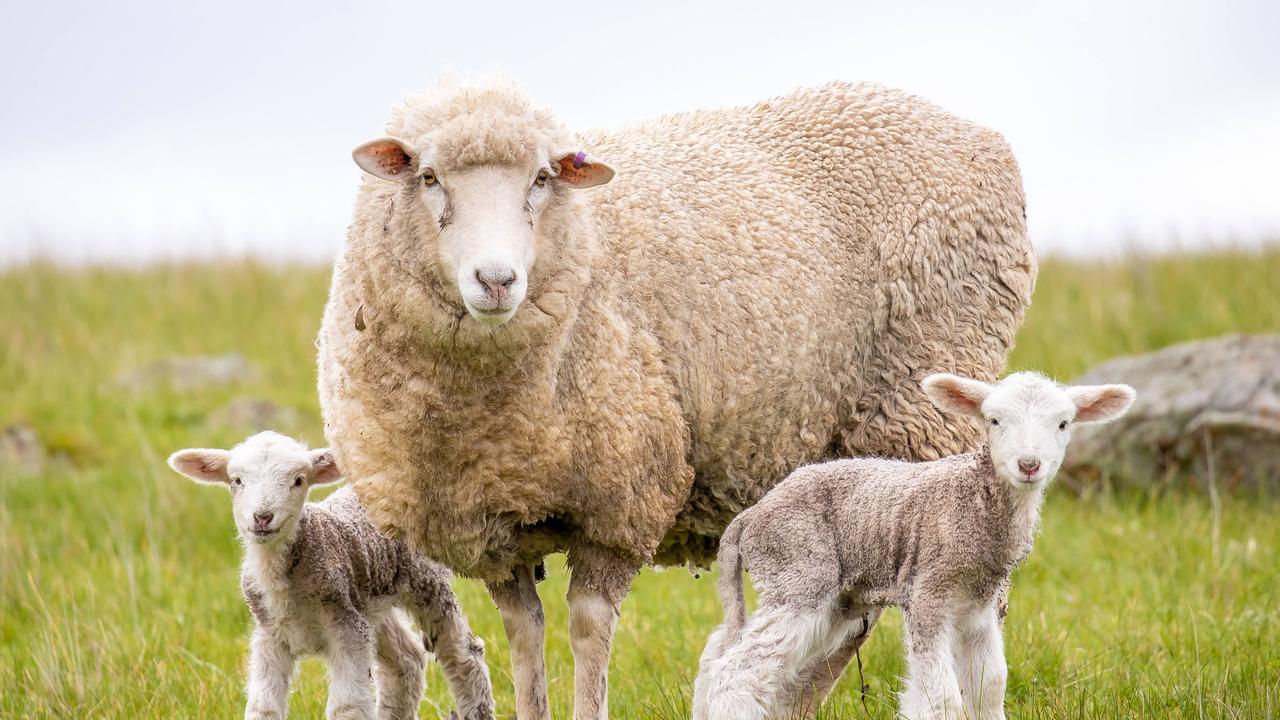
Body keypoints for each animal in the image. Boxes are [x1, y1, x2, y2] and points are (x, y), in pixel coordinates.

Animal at [167, 431, 494, 720]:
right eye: (237, 481)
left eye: (298, 481)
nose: (262, 517)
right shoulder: (271, 634)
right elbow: (263, 708)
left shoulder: (346, 627)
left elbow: (346, 707)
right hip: (370, 599)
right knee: (407, 659)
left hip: (425, 580)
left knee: (463, 656)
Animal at [317, 76, 1037, 719]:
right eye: (428, 177)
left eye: (542, 179)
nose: (496, 280)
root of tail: (980, 136)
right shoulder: (493, 527)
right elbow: (524, 636)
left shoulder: (621, 498)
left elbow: (588, 630)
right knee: (853, 614)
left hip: (921, 419)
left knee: (978, 605)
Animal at [691, 372, 1137, 720]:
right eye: (993, 420)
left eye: (1063, 424)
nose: (1029, 465)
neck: (972, 501)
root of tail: (750, 516)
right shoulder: (928, 597)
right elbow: (942, 698)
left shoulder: (978, 610)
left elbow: (989, 687)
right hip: (798, 573)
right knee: (737, 670)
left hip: (834, 599)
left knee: (717, 652)